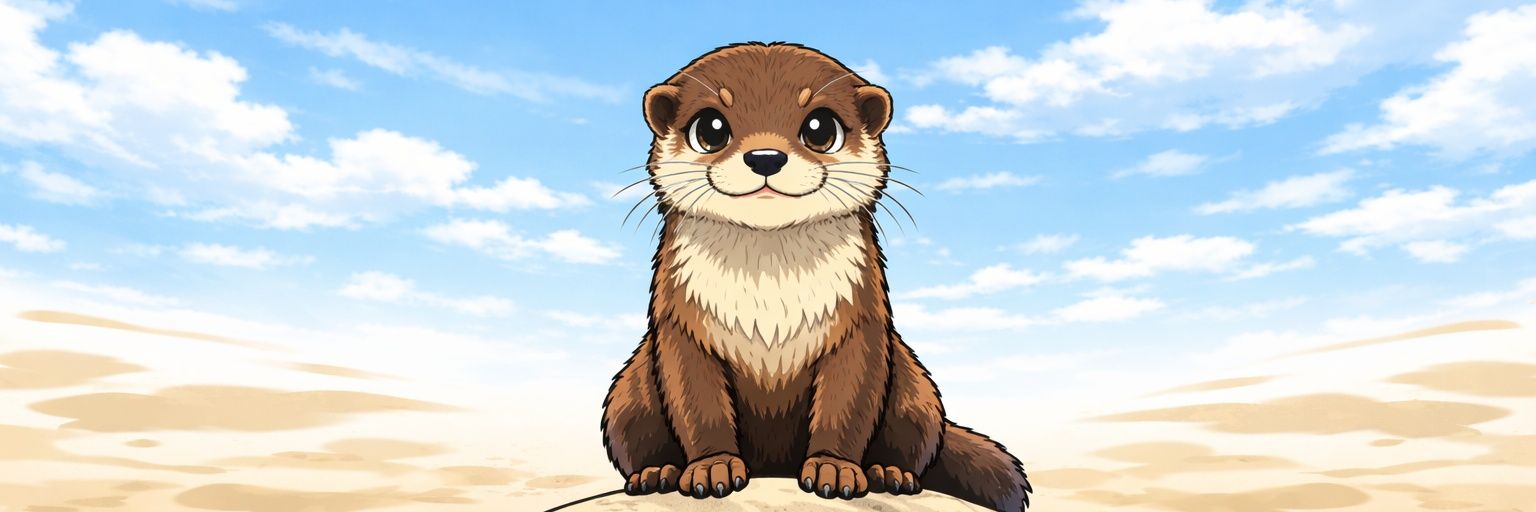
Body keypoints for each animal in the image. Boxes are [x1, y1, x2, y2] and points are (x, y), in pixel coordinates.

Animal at [601, 42, 1031, 512]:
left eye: (820, 127)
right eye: (711, 128)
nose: (765, 157)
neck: (770, 307)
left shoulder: (861, 326)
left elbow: (847, 404)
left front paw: (834, 469)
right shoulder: (681, 329)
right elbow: (699, 405)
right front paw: (711, 469)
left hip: (916, 387)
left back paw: (891, 473)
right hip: (629, 390)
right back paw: (655, 473)